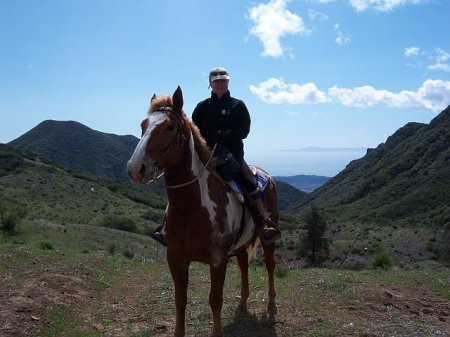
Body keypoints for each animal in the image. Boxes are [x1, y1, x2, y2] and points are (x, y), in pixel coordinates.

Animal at [126, 86, 278, 336]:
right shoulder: (175, 258)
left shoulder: (217, 261)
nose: (135, 169)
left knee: (270, 265)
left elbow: (215, 300)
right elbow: (180, 299)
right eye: (143, 125)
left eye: (170, 127)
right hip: (240, 245)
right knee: (243, 264)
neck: (190, 208)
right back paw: (242, 302)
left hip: (268, 238)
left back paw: (272, 304)